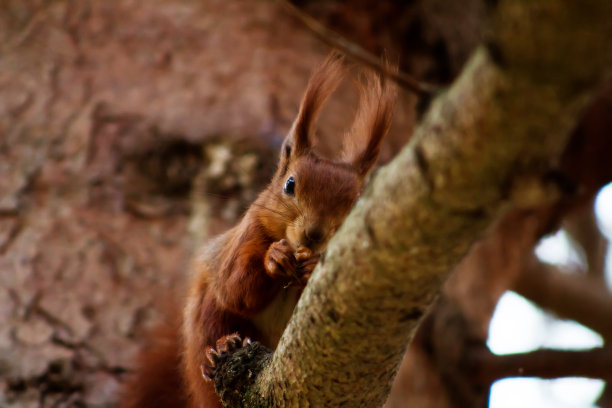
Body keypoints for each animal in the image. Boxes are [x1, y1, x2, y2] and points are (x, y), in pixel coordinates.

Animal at [120, 55, 396, 408]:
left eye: (357, 202)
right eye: (289, 184)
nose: (314, 235)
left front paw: (308, 270)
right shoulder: (246, 235)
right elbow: (235, 286)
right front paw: (274, 258)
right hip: (207, 316)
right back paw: (220, 349)